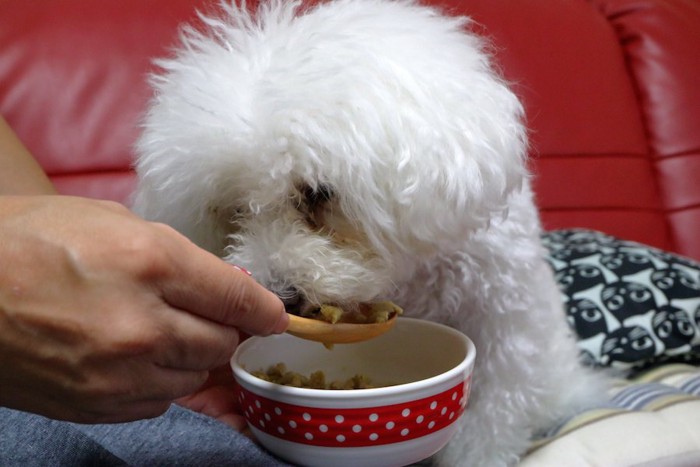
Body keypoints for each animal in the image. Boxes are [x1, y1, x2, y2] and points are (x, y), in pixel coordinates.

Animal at [131, 1, 608, 466]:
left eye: (318, 193)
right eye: (235, 209)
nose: (282, 298)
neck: (404, 274)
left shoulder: (504, 324)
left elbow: (492, 415)